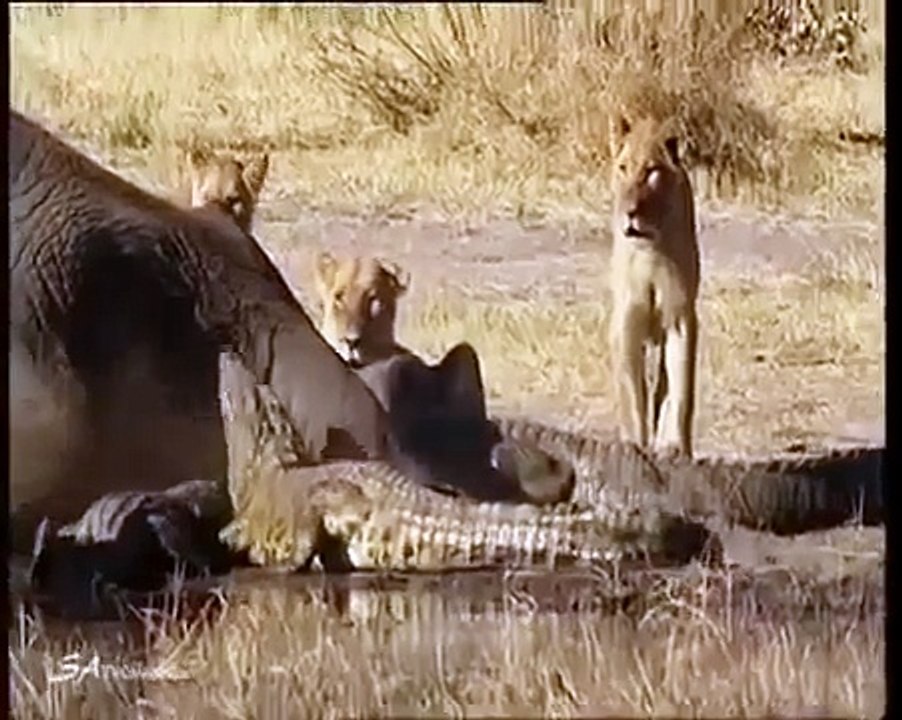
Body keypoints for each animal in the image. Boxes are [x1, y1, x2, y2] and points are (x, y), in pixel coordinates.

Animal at [607, 114, 701, 459]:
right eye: (623, 168)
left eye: (652, 172)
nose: (630, 213)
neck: (650, 248)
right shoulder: (626, 320)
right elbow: (632, 393)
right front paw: (634, 444)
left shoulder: (681, 317)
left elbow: (682, 389)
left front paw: (675, 446)